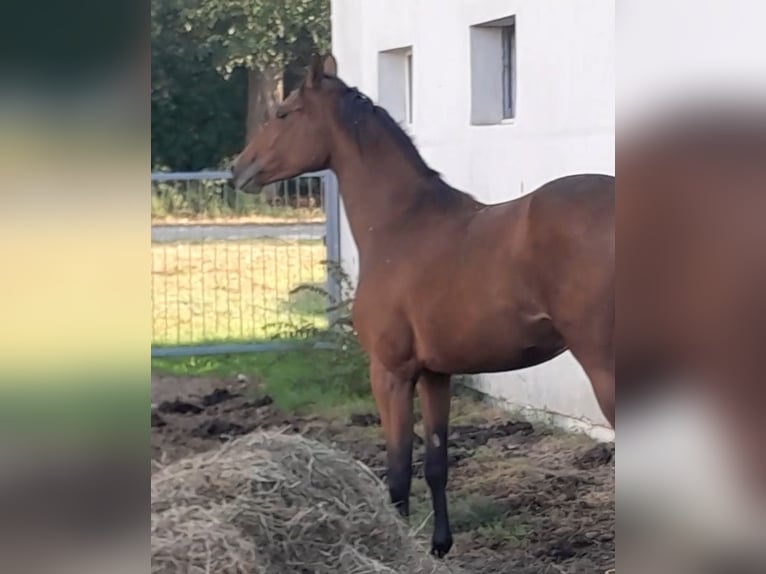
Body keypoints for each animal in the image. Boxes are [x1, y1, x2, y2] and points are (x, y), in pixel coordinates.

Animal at [231, 54, 616, 560]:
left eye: (283, 113)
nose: (237, 169)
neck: (400, 223)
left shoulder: (390, 372)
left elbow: (397, 472)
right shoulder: (436, 374)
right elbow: (435, 464)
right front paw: (438, 546)